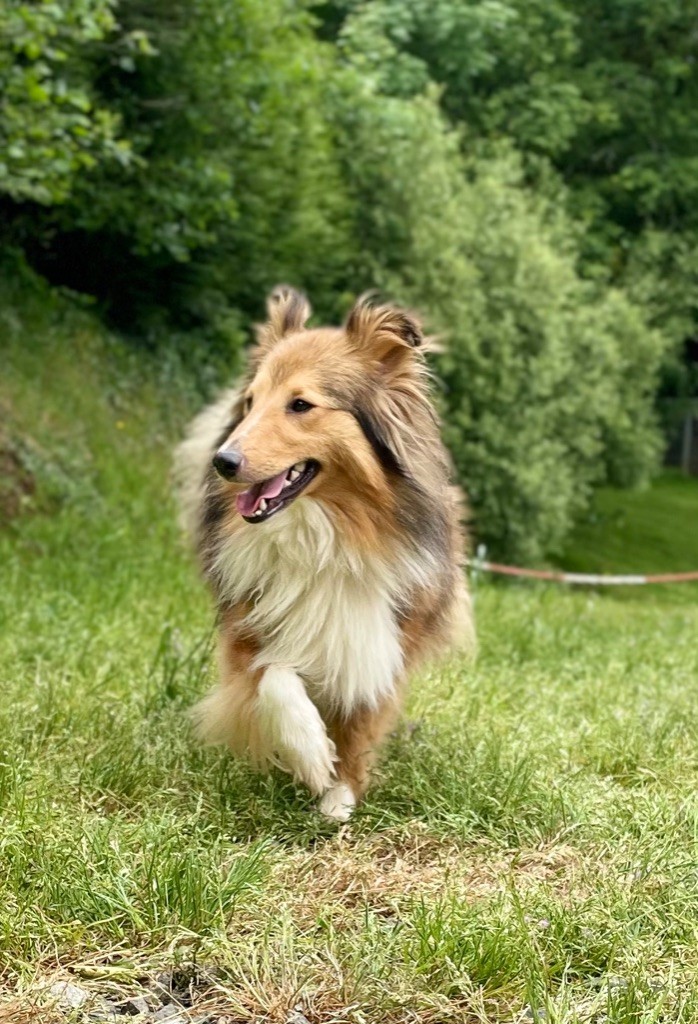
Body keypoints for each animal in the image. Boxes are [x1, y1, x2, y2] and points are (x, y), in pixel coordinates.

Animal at [173, 290, 472, 823]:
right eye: (250, 403)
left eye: (301, 404)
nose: (222, 461)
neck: (322, 538)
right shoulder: (248, 626)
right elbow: (274, 679)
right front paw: (312, 756)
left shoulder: (379, 638)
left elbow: (361, 718)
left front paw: (340, 796)